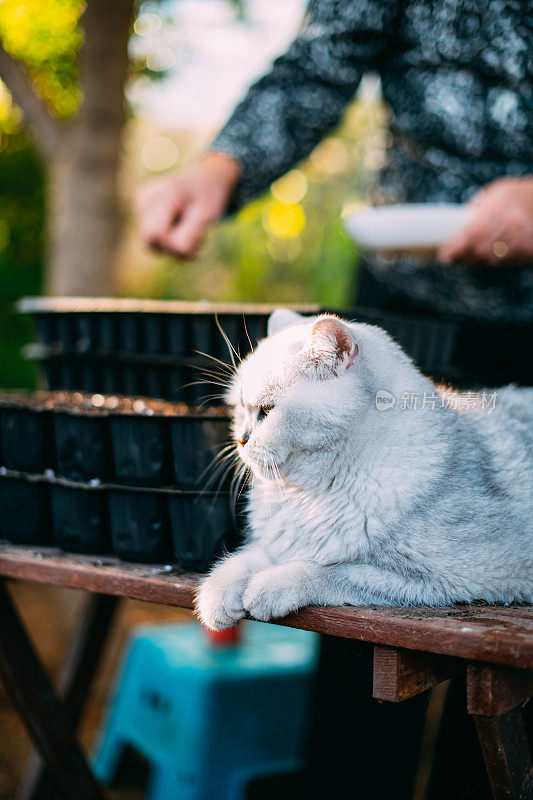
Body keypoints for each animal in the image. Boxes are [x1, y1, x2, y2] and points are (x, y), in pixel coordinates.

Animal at [196, 310, 532, 628]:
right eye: (239, 409)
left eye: (267, 411)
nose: (241, 440)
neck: (309, 495)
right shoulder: (276, 545)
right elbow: (243, 559)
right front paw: (217, 595)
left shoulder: (450, 578)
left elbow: (328, 571)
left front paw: (267, 587)